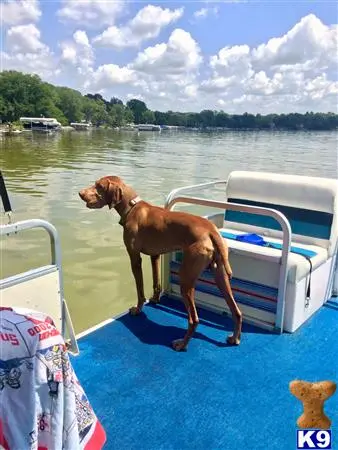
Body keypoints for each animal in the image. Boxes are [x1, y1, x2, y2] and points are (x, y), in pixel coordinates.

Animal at [78, 176, 243, 352]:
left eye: (99, 186)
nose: (80, 193)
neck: (132, 207)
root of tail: (211, 230)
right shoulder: (155, 255)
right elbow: (156, 283)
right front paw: (155, 299)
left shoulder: (134, 258)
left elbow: (140, 290)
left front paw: (138, 309)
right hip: (220, 274)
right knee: (237, 311)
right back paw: (234, 338)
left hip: (186, 278)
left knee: (194, 319)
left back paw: (181, 344)